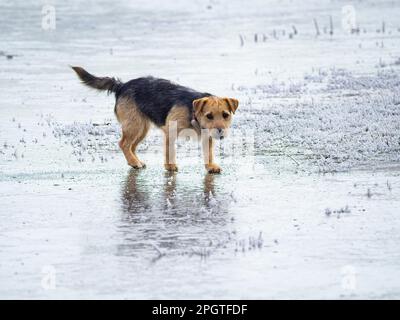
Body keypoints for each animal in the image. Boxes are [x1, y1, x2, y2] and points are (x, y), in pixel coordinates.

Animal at [71, 66, 238, 174]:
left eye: (225, 115)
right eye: (209, 116)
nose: (220, 132)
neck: (193, 113)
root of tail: (122, 86)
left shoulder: (206, 137)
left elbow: (208, 153)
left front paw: (210, 166)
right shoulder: (170, 132)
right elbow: (170, 151)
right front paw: (170, 166)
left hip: (141, 129)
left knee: (131, 147)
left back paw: (135, 161)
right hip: (134, 126)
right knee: (123, 144)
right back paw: (134, 162)